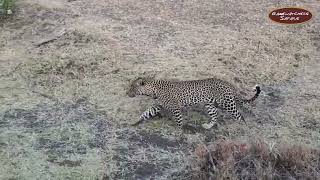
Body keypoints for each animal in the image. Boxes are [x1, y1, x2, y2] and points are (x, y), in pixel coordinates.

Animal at [126, 76, 262, 130]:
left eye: (132, 87)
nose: (126, 93)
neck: (153, 90)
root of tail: (227, 83)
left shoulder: (175, 107)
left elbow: (179, 120)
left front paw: (178, 130)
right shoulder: (157, 106)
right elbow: (146, 113)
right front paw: (134, 122)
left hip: (227, 103)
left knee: (240, 116)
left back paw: (242, 128)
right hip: (209, 104)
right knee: (215, 115)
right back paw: (208, 126)